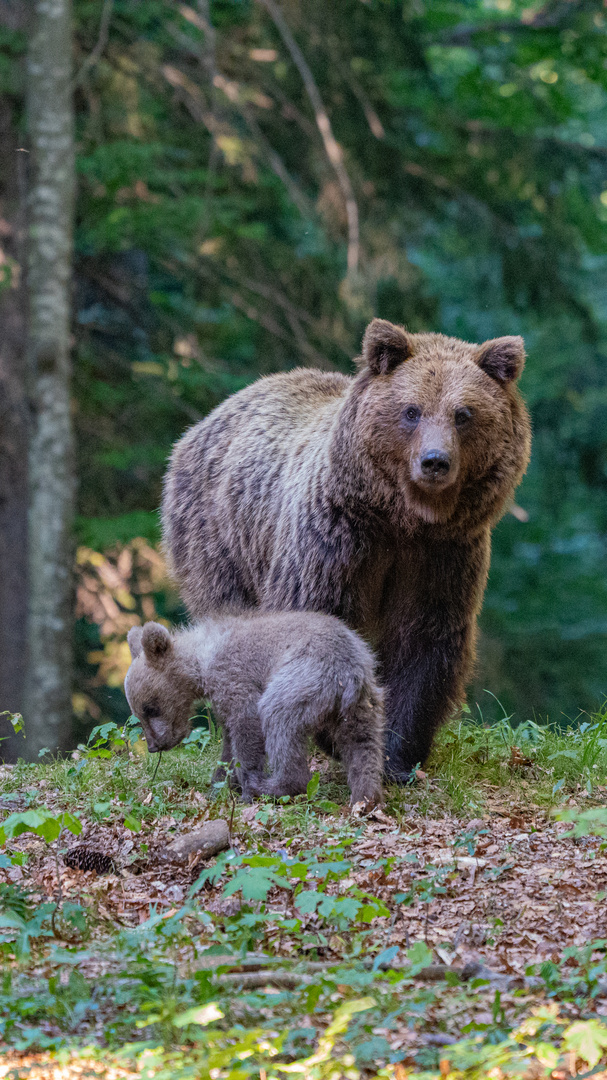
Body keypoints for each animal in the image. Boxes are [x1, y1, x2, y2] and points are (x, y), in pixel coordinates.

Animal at [162, 315, 529, 781]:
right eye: (412, 411)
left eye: (463, 414)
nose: (434, 461)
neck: (401, 520)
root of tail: (212, 416)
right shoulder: (336, 542)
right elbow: (320, 625)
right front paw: (340, 735)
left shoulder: (443, 556)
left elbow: (425, 643)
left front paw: (397, 754)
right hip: (220, 539)